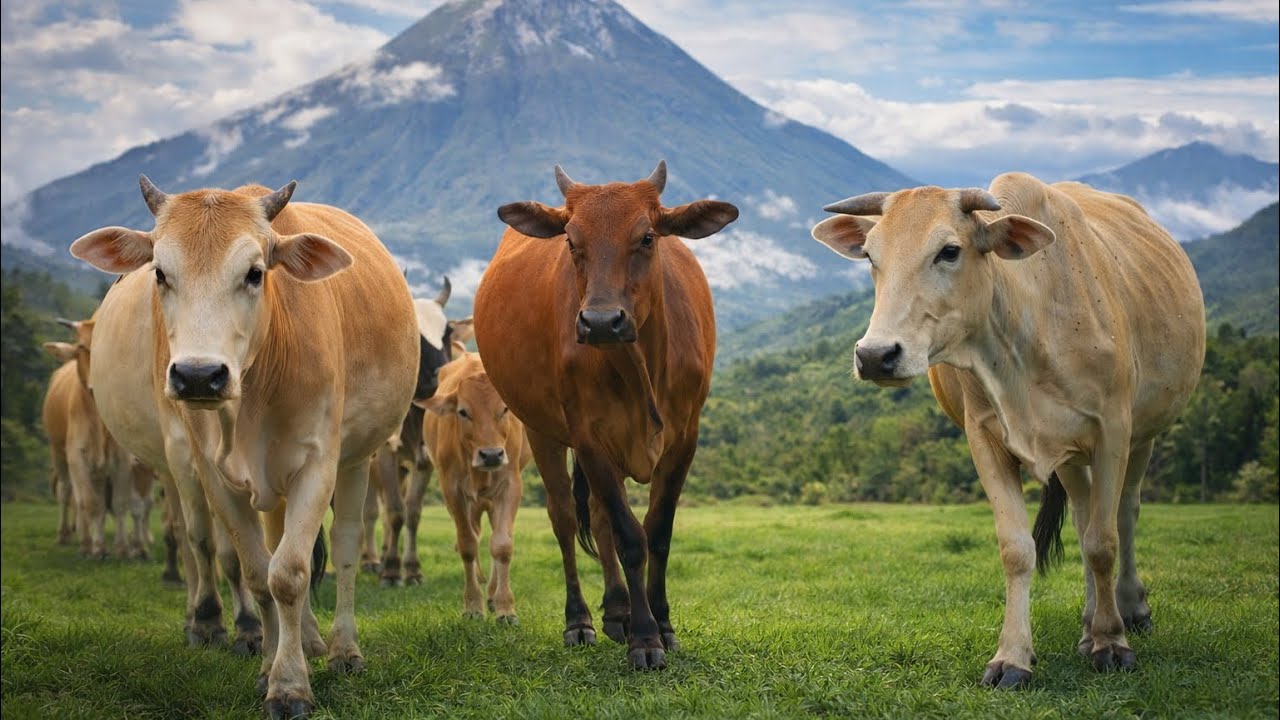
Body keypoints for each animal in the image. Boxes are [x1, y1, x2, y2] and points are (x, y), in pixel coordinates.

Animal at [42, 318, 151, 558]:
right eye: (82, 347)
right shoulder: (77, 457)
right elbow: (89, 503)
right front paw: (93, 546)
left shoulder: (122, 460)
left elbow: (118, 504)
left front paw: (120, 547)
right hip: (57, 452)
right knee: (67, 493)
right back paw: (70, 537)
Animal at [71, 176, 419, 718]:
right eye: (160, 273)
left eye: (255, 273)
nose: (198, 375)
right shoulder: (211, 473)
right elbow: (257, 572)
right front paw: (267, 664)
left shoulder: (317, 464)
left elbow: (290, 573)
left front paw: (290, 686)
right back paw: (304, 639)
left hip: (359, 459)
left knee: (343, 549)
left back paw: (342, 649)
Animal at [421, 348, 531, 622]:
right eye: (463, 412)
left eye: (504, 409)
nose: (491, 455)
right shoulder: (452, 490)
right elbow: (468, 545)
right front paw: (472, 606)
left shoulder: (510, 485)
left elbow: (502, 545)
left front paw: (505, 608)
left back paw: (491, 594)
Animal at [474, 161, 738, 669]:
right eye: (571, 241)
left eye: (648, 237)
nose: (599, 322)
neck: (639, 365)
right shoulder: (588, 435)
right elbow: (630, 537)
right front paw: (645, 639)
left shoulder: (685, 438)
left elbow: (657, 532)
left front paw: (662, 624)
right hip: (541, 430)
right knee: (563, 517)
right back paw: (580, 621)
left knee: (596, 515)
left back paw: (617, 610)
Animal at [811, 172, 1205, 687]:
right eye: (871, 256)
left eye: (949, 251)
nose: (875, 355)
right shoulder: (986, 439)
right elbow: (1017, 549)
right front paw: (1013, 657)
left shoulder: (1113, 431)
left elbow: (1103, 542)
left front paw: (1112, 644)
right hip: (1071, 457)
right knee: (1083, 515)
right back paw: (1088, 626)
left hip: (1144, 433)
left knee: (1125, 513)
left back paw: (1129, 611)